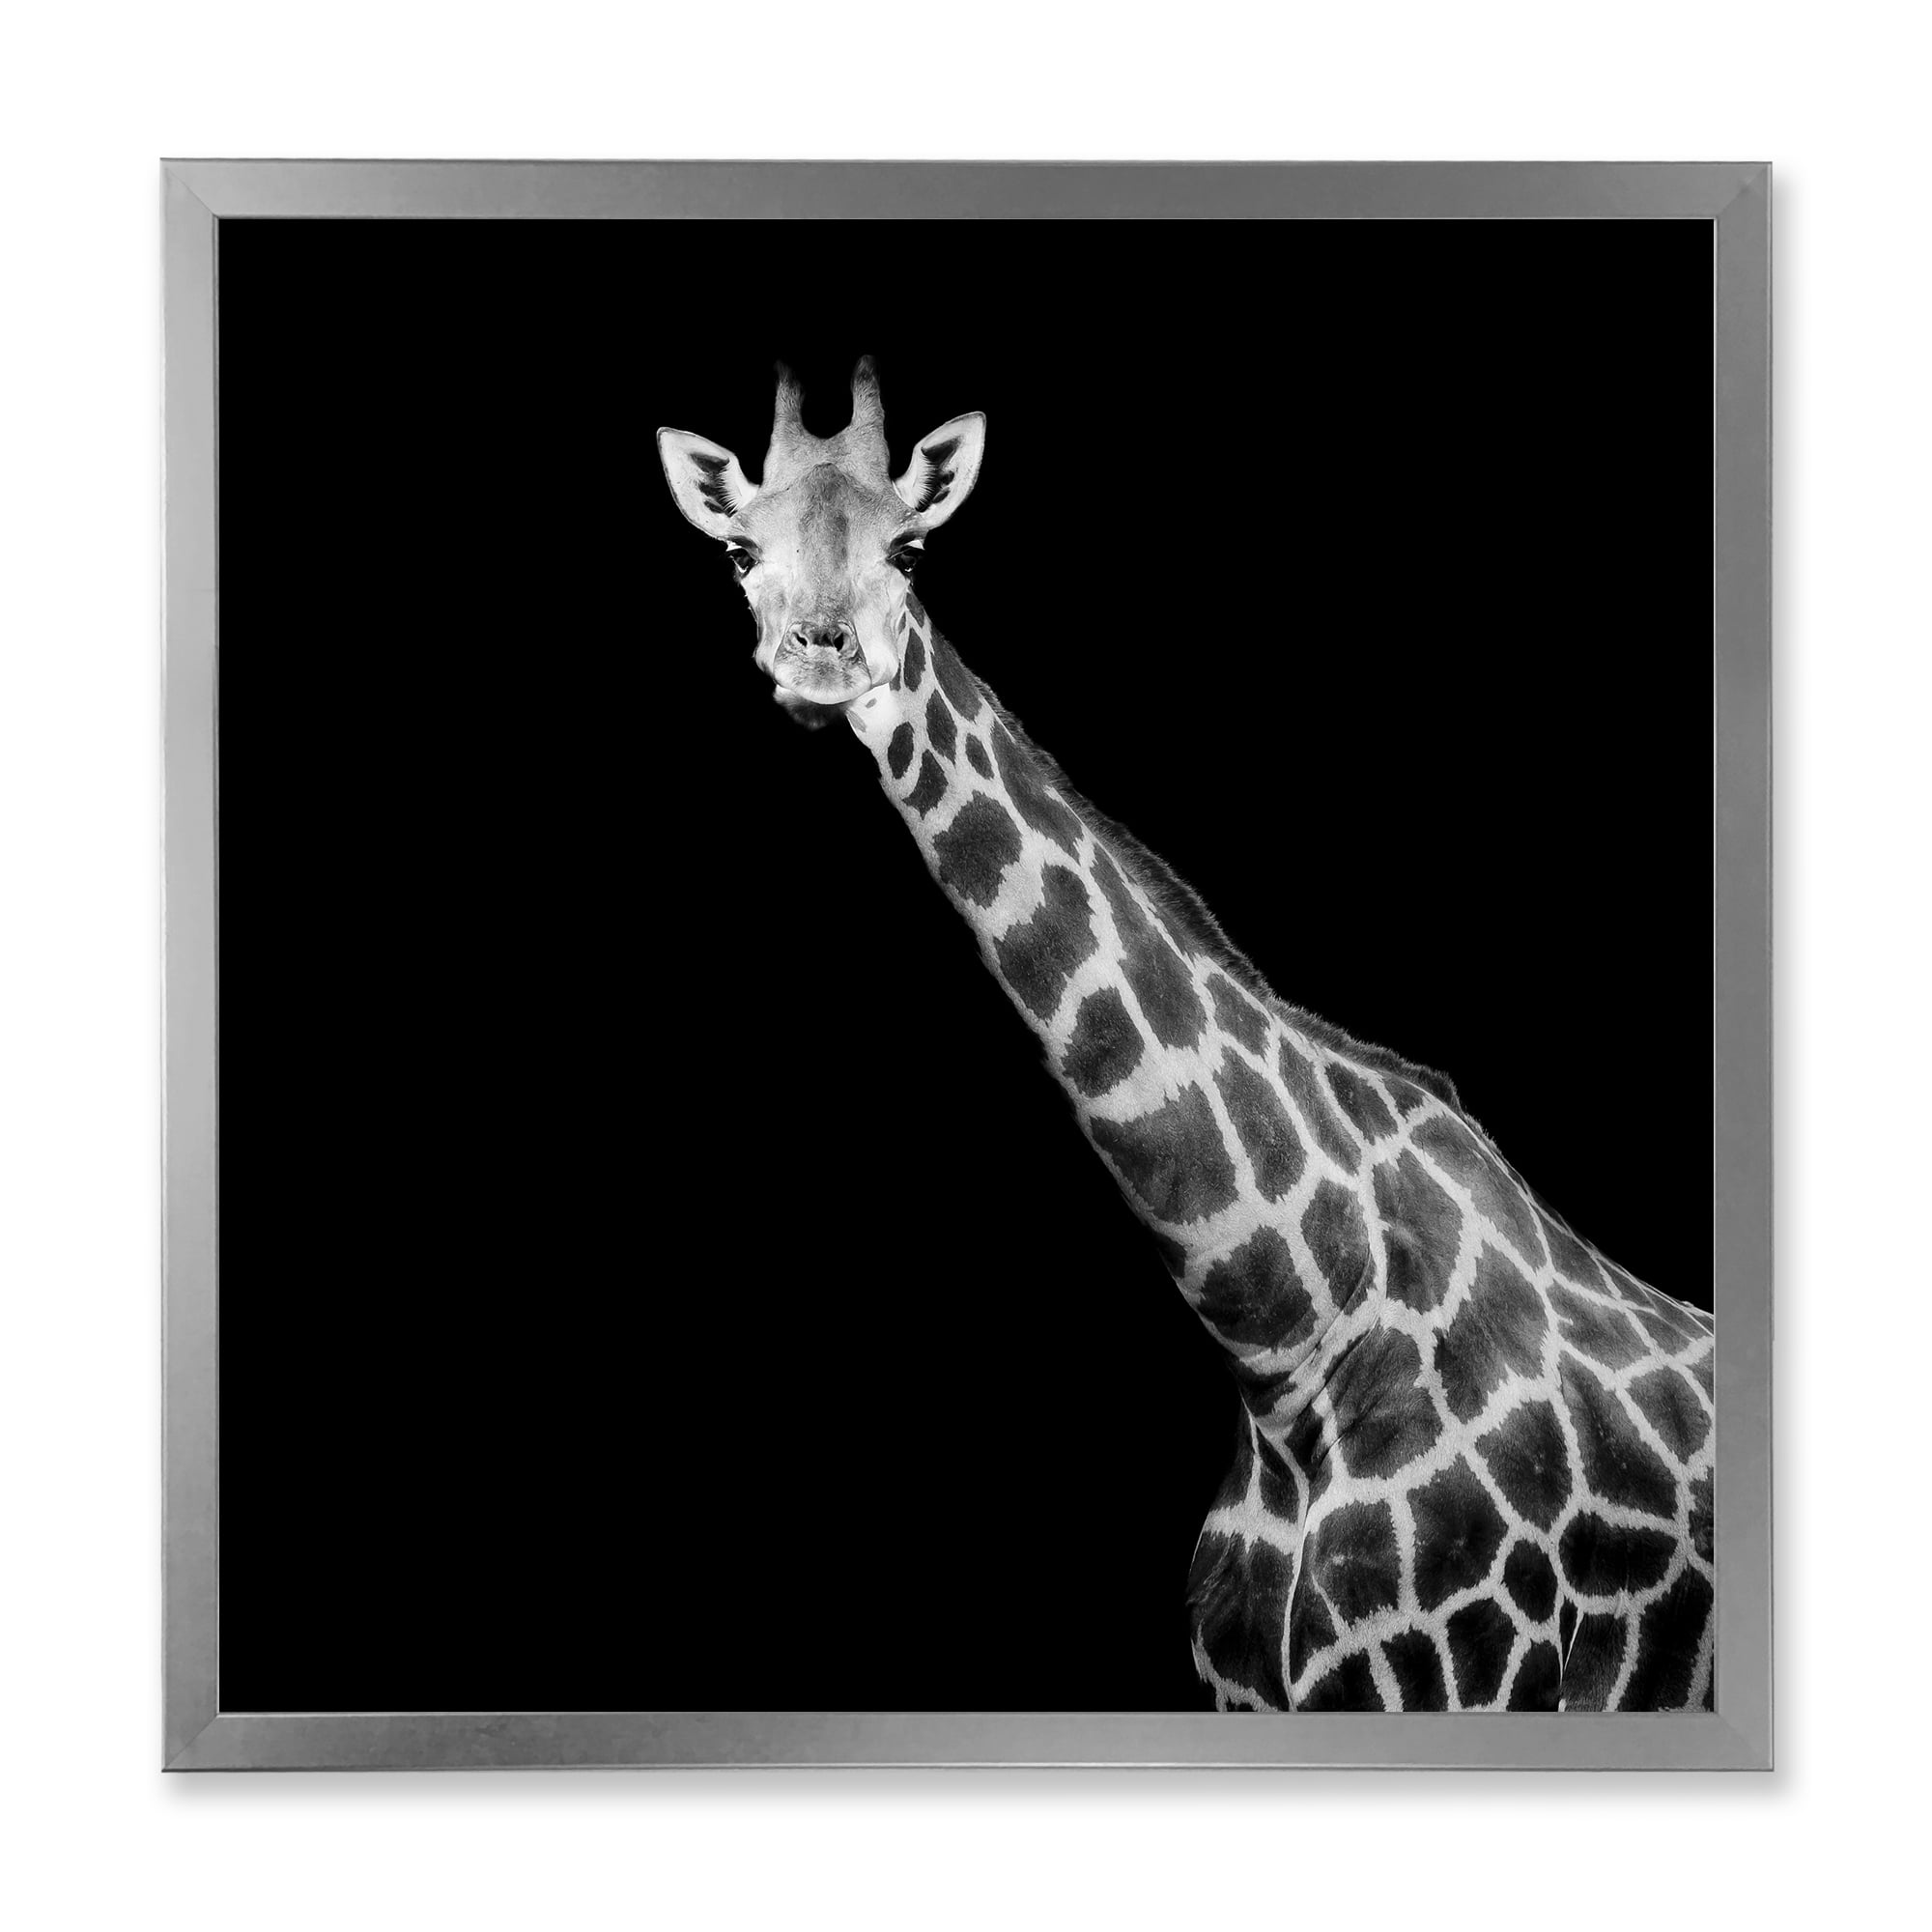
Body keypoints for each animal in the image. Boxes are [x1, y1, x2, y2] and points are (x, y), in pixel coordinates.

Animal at [657, 360, 1717, 1713]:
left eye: (911, 546)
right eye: (741, 549)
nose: (821, 659)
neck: (1289, 1346)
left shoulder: (1483, 1679)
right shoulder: (1245, 1688)